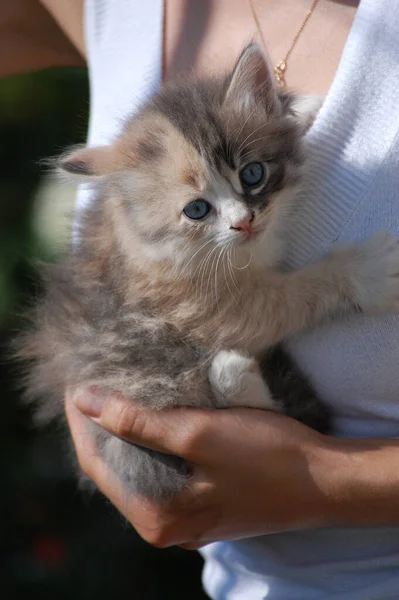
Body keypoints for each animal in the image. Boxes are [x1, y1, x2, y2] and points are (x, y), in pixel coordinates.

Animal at [18, 44, 399, 500]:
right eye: (197, 209)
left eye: (253, 173)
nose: (244, 223)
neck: (141, 237)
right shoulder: (206, 309)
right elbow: (294, 295)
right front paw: (369, 271)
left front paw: (297, 108)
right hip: (146, 372)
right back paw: (235, 375)